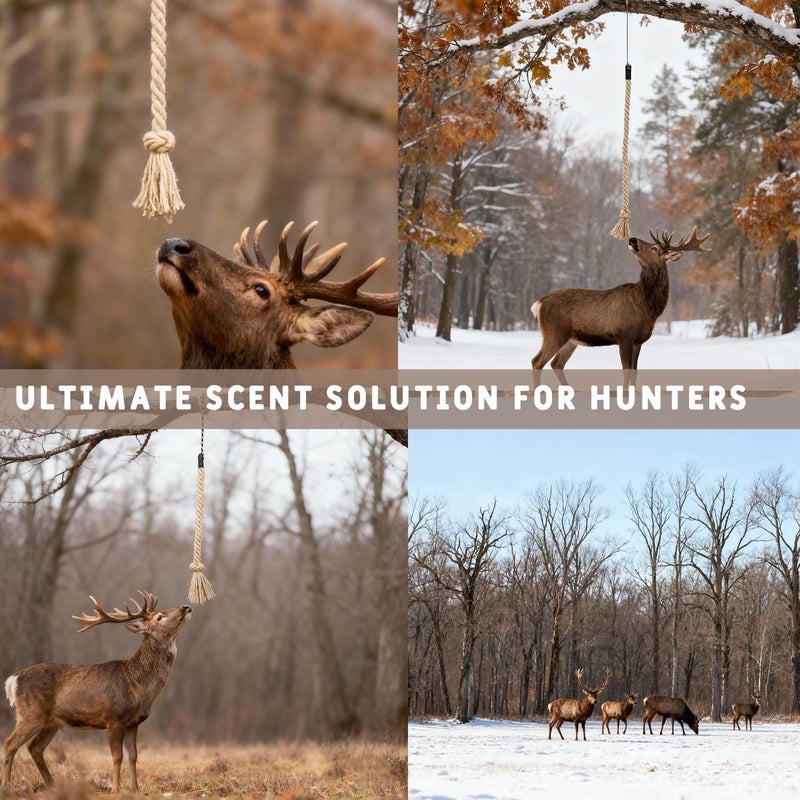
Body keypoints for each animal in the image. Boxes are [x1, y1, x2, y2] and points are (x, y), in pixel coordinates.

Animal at [2, 592, 191, 793]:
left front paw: (135, 788)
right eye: (159, 617)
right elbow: (117, 756)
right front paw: (116, 789)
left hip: (50, 722)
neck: (137, 686)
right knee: (10, 743)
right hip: (31, 714)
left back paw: (52, 785)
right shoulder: (113, 718)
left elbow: (133, 755)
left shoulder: (134, 723)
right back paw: (6, 785)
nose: (186, 606)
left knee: (34, 747)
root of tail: (12, 680)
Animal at [531, 227, 711, 381]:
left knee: (556, 363)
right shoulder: (624, 335)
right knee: (537, 361)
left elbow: (634, 372)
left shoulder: (638, 341)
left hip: (570, 340)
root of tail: (538, 304)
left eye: (654, 248)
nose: (632, 239)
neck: (647, 308)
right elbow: (626, 370)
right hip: (554, 333)